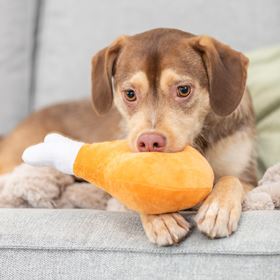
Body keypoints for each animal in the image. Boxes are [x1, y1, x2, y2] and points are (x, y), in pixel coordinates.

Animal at [0, 29, 256, 245]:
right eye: (130, 94)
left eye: (184, 90)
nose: (150, 141)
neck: (199, 142)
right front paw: (160, 219)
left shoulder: (249, 177)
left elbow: (230, 179)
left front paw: (218, 209)